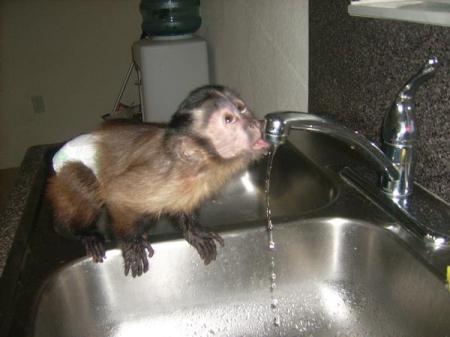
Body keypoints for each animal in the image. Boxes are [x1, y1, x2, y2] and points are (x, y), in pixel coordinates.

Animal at [46, 84, 270, 276]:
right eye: (229, 120)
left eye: (241, 108)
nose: (255, 123)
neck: (199, 165)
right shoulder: (163, 175)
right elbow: (118, 194)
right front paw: (132, 243)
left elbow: (181, 207)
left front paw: (194, 232)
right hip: (66, 177)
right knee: (84, 181)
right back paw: (84, 234)